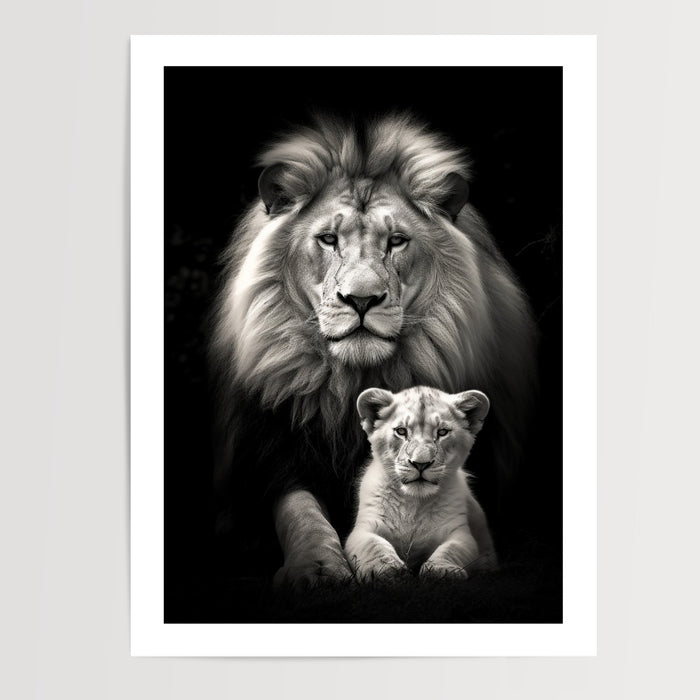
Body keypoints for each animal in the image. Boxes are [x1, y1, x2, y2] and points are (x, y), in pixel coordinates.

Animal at [345, 385, 497, 582]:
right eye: (401, 431)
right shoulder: (364, 529)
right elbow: (374, 545)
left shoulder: (460, 534)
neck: (414, 502)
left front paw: (441, 570)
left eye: (442, 432)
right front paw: (386, 570)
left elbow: (451, 549)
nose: (420, 463)